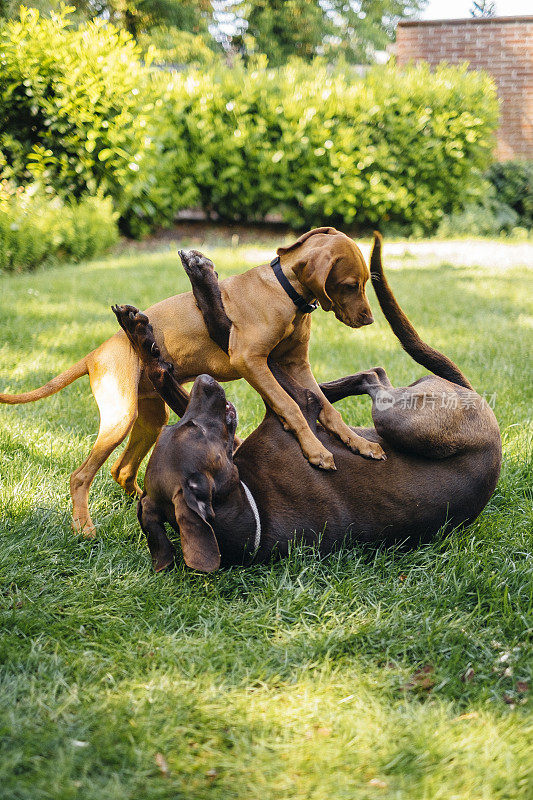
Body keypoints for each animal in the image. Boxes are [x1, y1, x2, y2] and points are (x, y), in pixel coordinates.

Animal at [0, 227, 382, 536]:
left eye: (364, 283)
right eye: (351, 285)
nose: (369, 320)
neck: (284, 290)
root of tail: (96, 354)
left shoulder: (296, 365)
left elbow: (329, 410)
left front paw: (358, 444)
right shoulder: (250, 361)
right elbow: (290, 405)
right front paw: (315, 450)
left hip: (152, 418)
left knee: (122, 470)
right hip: (121, 417)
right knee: (81, 476)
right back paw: (84, 527)